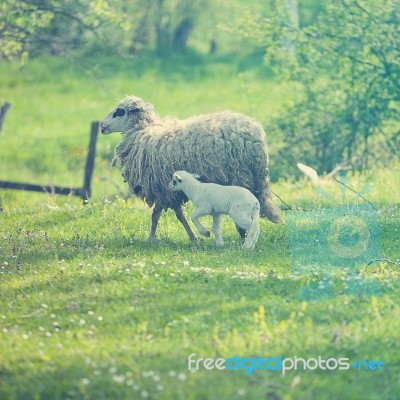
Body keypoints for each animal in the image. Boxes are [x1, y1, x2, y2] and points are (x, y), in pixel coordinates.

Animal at [100, 95, 282, 242]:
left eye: (119, 111)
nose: (101, 125)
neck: (143, 132)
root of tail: (257, 137)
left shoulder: (161, 188)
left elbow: (159, 214)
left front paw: (152, 239)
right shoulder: (169, 189)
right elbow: (174, 213)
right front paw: (193, 237)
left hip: (240, 176)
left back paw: (243, 238)